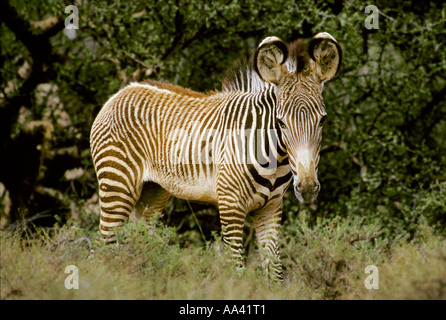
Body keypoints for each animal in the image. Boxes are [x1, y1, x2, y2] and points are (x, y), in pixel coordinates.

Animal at [89, 32, 342, 282]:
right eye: (280, 122)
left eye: (323, 120)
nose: (307, 188)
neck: (274, 159)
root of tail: (121, 92)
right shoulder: (230, 204)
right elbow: (236, 269)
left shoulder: (270, 208)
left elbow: (275, 273)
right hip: (117, 184)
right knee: (102, 248)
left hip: (153, 192)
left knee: (135, 247)